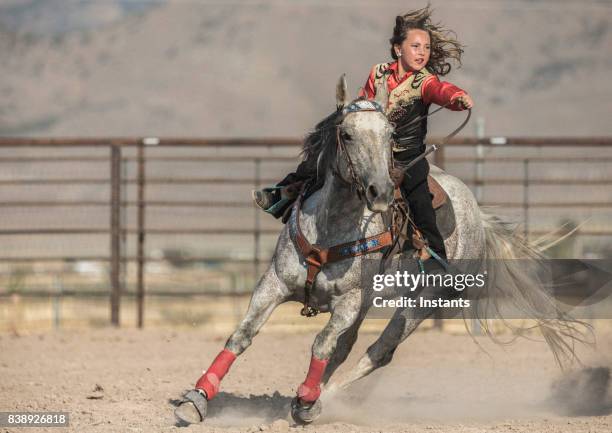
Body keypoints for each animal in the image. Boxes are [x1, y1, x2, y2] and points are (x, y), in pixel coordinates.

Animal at [175, 76, 584, 424]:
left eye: (390, 135)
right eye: (346, 133)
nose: (381, 191)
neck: (330, 227)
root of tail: (478, 218)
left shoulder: (349, 300)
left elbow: (322, 344)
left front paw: (306, 403)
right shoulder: (273, 284)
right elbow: (242, 336)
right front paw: (196, 399)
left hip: (423, 302)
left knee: (379, 350)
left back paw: (323, 400)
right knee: (348, 346)